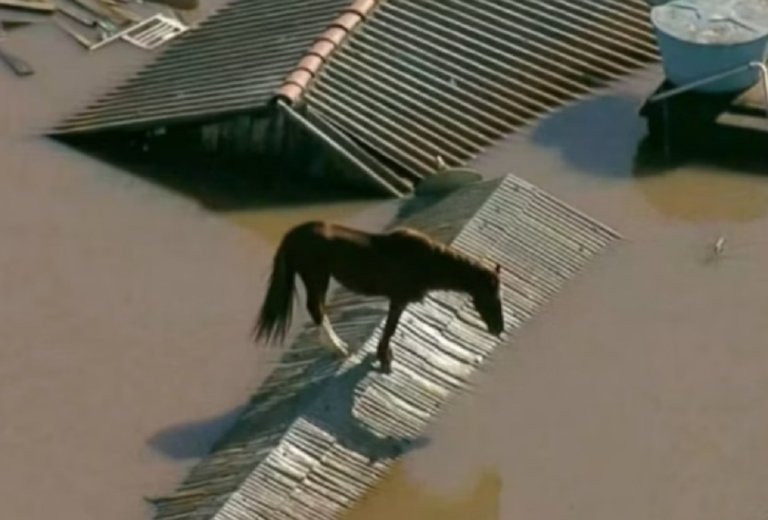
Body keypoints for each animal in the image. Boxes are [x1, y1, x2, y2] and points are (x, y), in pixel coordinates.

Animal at [252, 220, 505, 374]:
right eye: (492, 297)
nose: (498, 329)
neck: (427, 262)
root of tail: (294, 234)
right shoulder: (399, 299)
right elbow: (390, 329)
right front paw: (384, 360)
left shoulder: (398, 300)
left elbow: (390, 329)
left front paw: (384, 357)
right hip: (317, 277)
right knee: (316, 309)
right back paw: (339, 349)